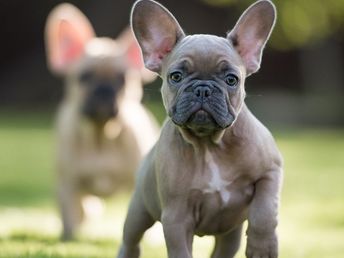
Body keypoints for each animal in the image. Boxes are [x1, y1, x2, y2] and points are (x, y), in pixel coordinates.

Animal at [44, 3, 160, 241]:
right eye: (84, 77)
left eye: (122, 79)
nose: (104, 90)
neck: (102, 135)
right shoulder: (67, 184)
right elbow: (68, 213)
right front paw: (68, 238)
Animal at [117, 0, 282, 256]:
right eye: (176, 76)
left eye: (231, 79)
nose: (203, 89)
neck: (209, 145)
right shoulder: (176, 217)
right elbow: (180, 251)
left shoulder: (271, 171)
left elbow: (264, 212)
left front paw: (262, 247)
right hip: (139, 210)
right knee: (131, 238)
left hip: (230, 236)